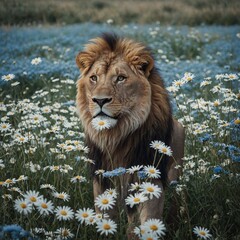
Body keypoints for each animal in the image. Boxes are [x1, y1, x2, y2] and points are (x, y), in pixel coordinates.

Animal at [76, 33, 185, 238]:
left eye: (120, 78)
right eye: (94, 78)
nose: (100, 100)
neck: (116, 136)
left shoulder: (149, 177)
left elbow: (146, 220)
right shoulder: (101, 175)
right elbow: (105, 214)